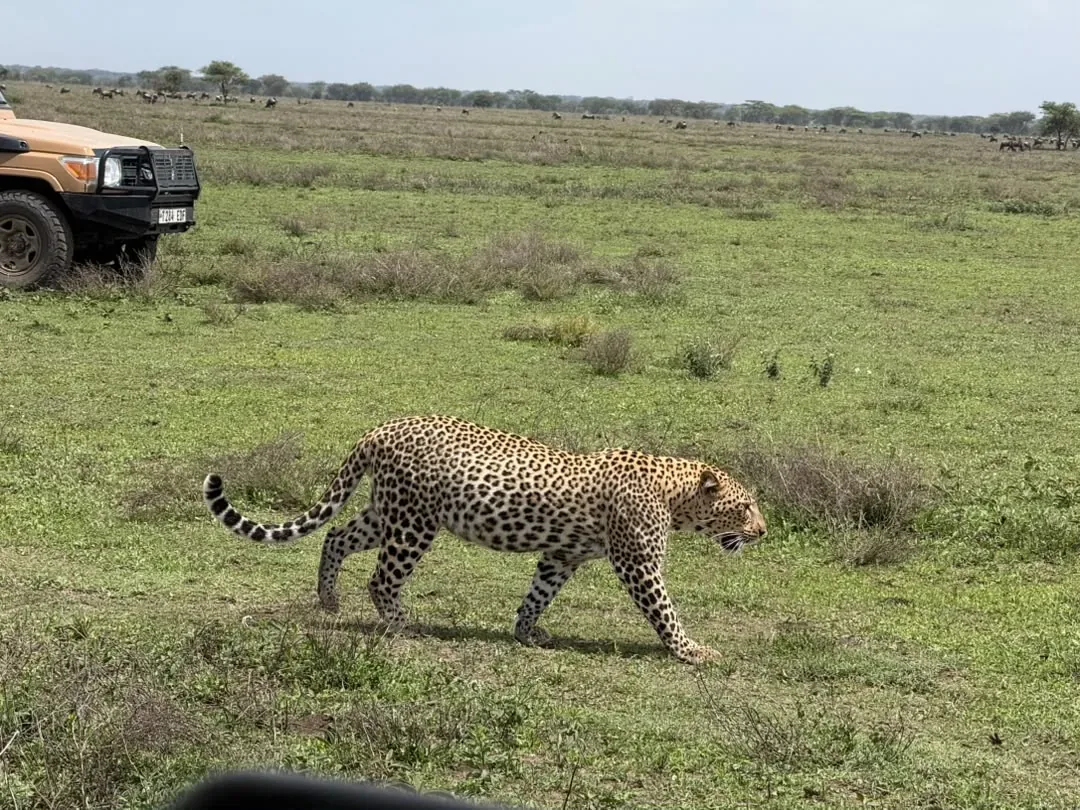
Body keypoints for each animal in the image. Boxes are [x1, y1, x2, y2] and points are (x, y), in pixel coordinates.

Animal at [202, 415, 767, 664]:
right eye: (743, 507)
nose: (762, 531)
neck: (676, 493)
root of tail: (382, 428)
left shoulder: (562, 555)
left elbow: (538, 594)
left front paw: (526, 633)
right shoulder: (638, 564)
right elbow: (664, 609)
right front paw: (691, 650)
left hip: (388, 513)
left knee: (336, 538)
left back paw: (328, 600)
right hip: (413, 524)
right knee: (382, 579)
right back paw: (404, 626)